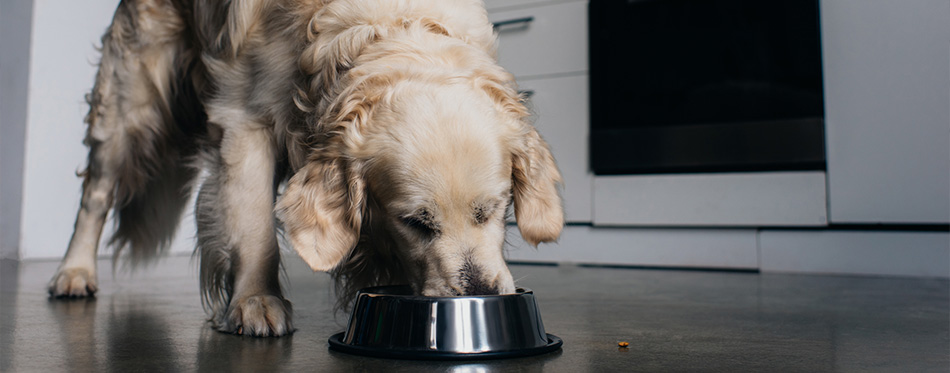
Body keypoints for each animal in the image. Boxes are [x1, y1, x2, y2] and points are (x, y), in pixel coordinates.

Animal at [46, 0, 564, 338]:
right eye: (415, 222)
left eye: (495, 210)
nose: (484, 294)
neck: (390, 27)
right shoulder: (243, 120)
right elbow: (254, 225)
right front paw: (256, 301)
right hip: (129, 105)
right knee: (95, 195)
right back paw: (74, 273)